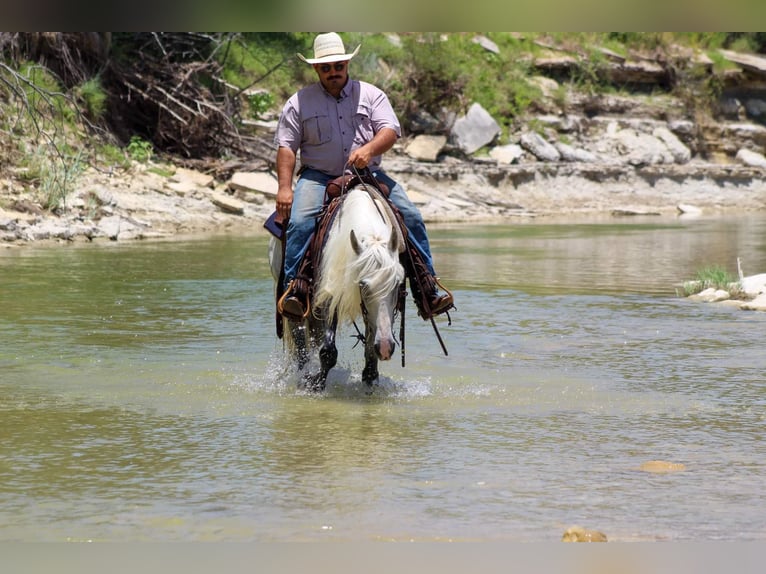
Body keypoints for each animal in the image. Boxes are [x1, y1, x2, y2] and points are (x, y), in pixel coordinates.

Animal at [268, 187, 404, 394]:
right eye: (363, 285)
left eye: (397, 284)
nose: (386, 348)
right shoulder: (329, 297)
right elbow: (329, 351)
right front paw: (314, 384)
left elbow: (370, 348)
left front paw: (370, 381)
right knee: (299, 337)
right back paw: (303, 375)